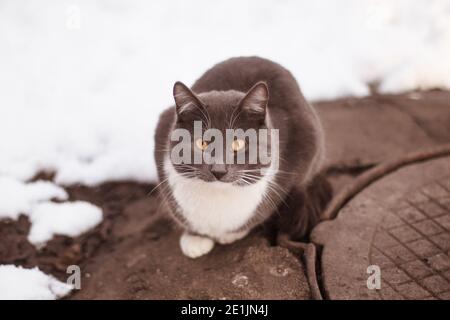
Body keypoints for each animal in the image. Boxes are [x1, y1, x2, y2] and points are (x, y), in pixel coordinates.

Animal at [155, 56, 330, 258]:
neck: (218, 197)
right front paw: (195, 237)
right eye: (202, 143)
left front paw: (231, 234)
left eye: (237, 143)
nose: (219, 170)